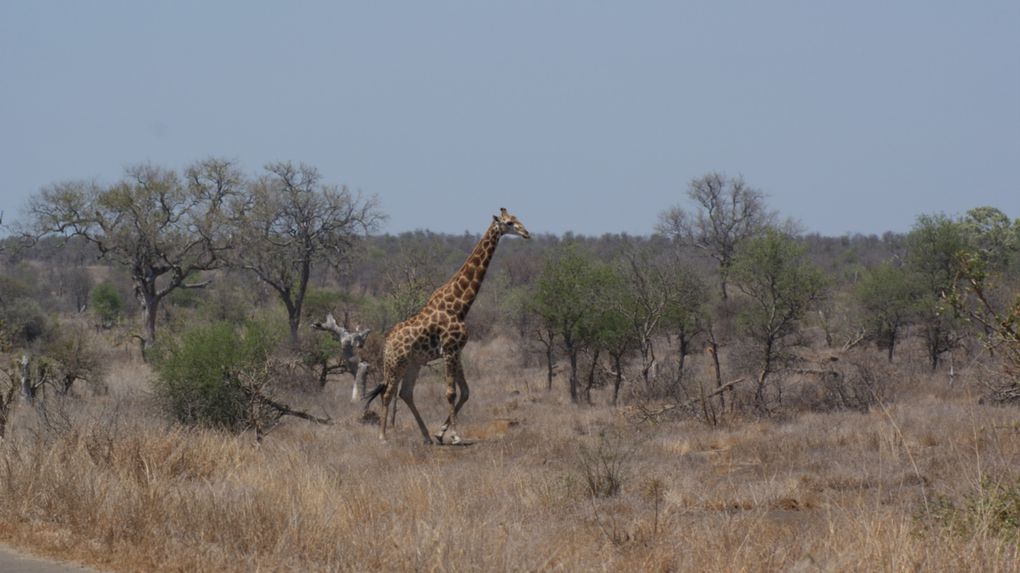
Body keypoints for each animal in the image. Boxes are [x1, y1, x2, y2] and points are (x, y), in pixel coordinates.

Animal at [371, 206, 530, 444]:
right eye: (509, 222)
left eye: (517, 218)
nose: (526, 233)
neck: (459, 305)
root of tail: (387, 343)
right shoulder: (449, 349)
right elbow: (451, 392)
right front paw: (455, 435)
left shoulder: (457, 350)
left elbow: (465, 392)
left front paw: (440, 433)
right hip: (396, 363)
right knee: (388, 393)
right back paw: (382, 436)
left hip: (414, 363)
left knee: (405, 393)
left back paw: (426, 436)